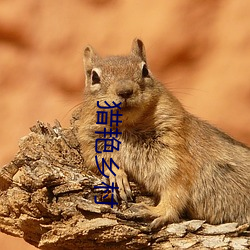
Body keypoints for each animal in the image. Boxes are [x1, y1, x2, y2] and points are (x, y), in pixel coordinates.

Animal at [77, 38, 249, 229]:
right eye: (94, 77)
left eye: (145, 70)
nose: (125, 91)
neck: (127, 127)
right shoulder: (91, 142)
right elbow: (99, 161)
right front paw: (117, 176)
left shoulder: (176, 154)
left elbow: (175, 189)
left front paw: (156, 211)